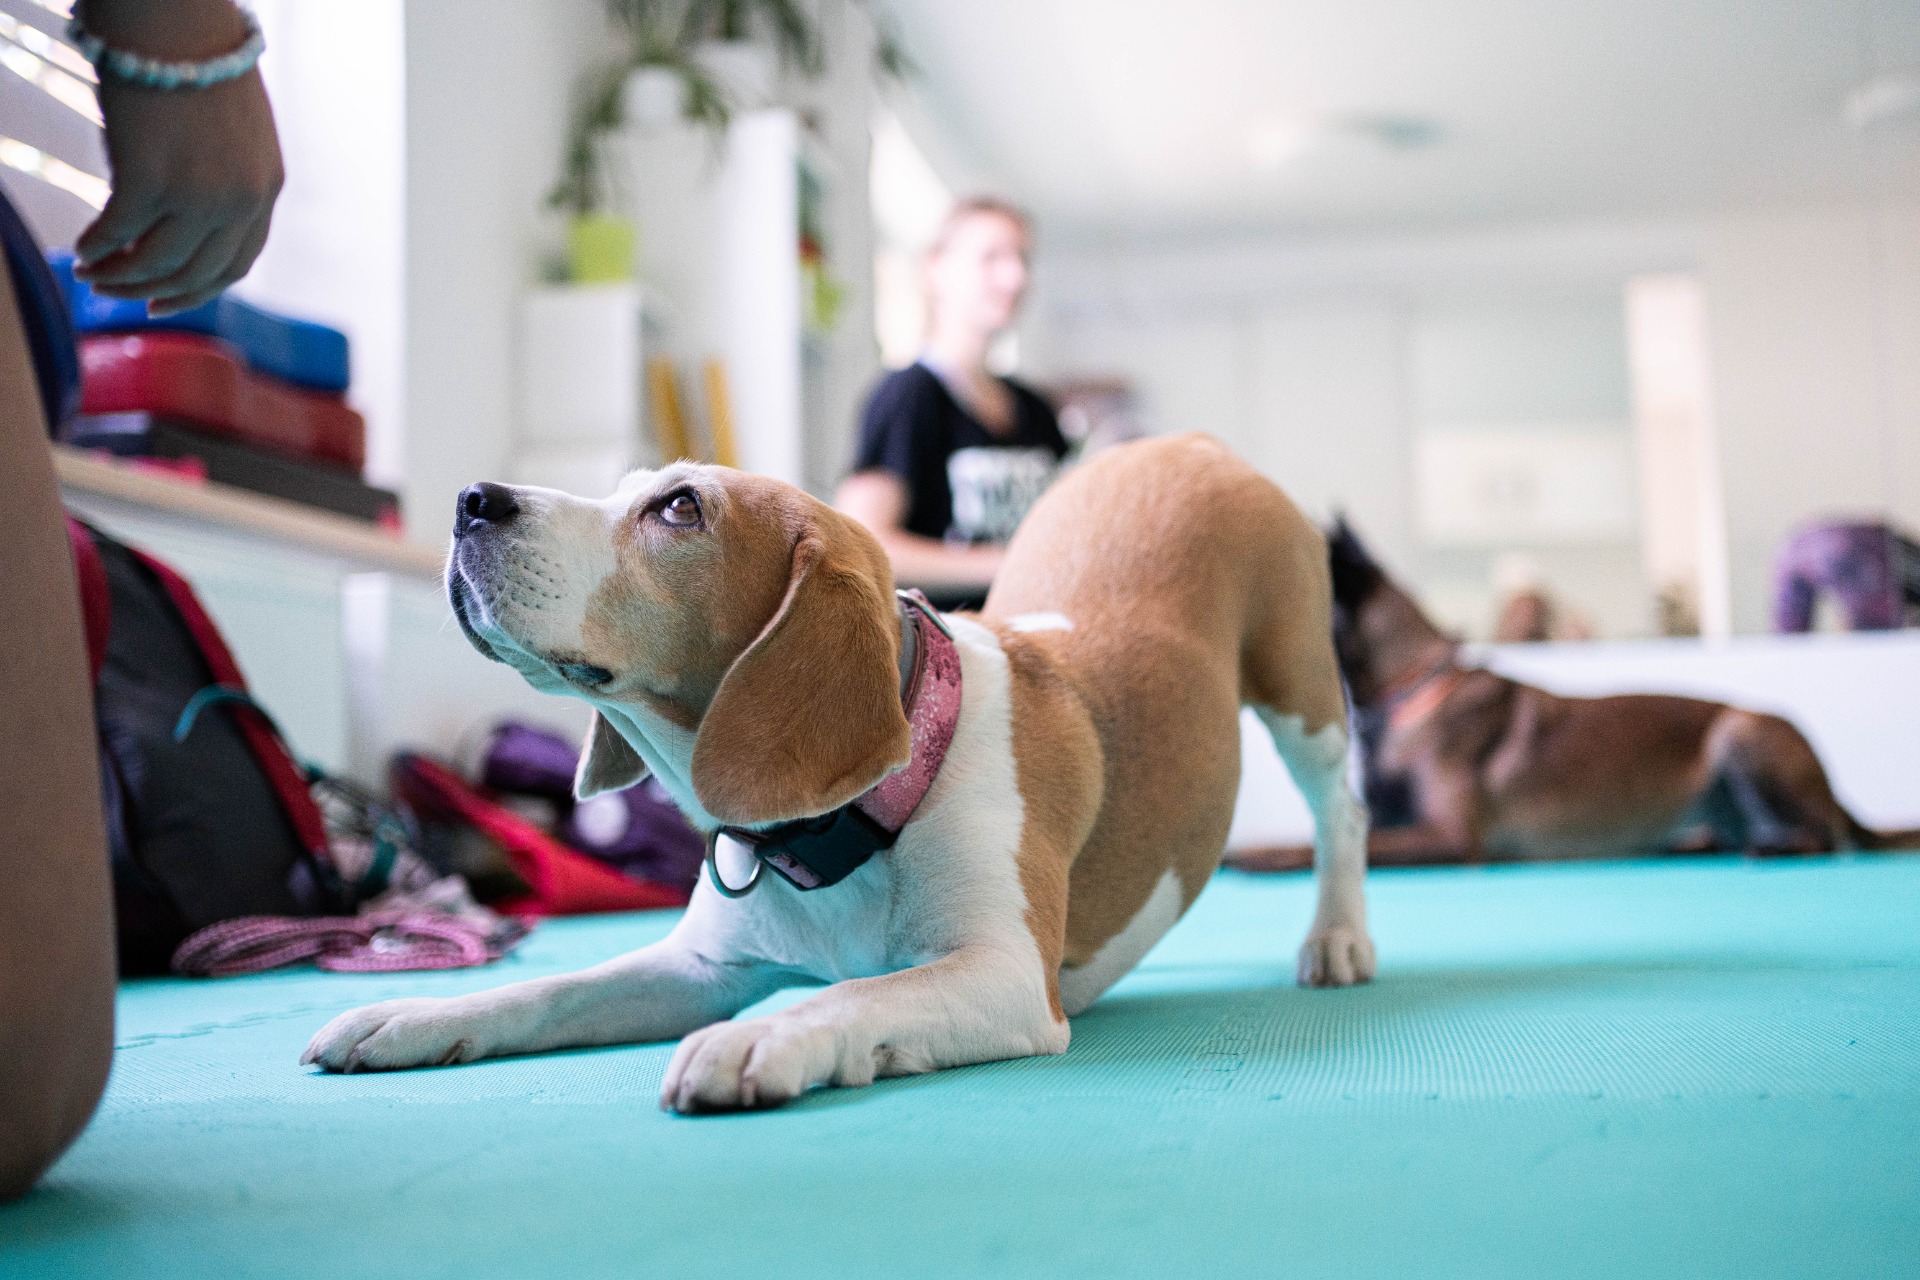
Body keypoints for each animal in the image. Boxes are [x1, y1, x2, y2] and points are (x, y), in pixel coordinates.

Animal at [303, 435, 1375, 1111]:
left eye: (679, 508)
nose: (470, 501)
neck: (851, 823)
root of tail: (1189, 445)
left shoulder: (1001, 976)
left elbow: (849, 997)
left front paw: (763, 1037)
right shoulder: (695, 971)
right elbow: (549, 993)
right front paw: (417, 1012)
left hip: (1303, 697)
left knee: (1343, 812)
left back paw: (1337, 938)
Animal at [1233, 520, 1917, 871]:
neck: (1411, 689)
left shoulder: (1450, 837)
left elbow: (1313, 845)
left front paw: (1258, 853)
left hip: (1739, 732)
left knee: (1827, 838)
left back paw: (1775, 846)